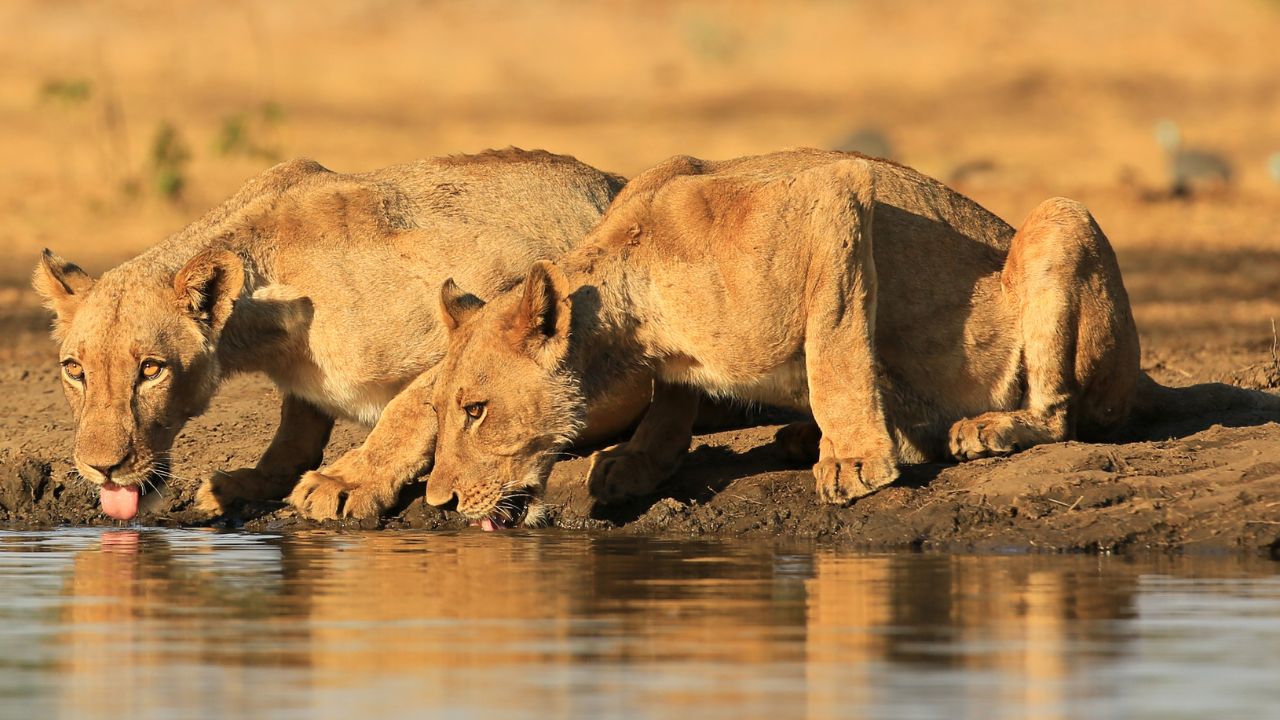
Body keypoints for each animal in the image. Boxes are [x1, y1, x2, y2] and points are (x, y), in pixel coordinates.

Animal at [32, 148, 657, 523]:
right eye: (74, 370)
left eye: (151, 369)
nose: (101, 467)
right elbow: (297, 423)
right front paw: (248, 482)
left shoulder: (496, 287)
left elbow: (409, 408)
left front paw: (343, 480)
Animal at [425, 147, 1177, 524]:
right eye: (442, 411)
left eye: (476, 410)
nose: (437, 502)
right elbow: (672, 398)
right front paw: (637, 462)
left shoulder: (833, 199)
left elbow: (837, 351)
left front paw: (856, 464)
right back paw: (809, 435)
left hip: (1060, 218)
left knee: (1061, 415)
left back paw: (980, 430)